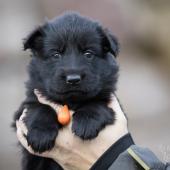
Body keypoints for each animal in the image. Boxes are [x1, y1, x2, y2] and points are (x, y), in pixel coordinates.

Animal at [12, 12, 119, 169]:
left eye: (88, 54)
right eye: (56, 54)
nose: (73, 79)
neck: (70, 102)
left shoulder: (108, 97)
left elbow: (97, 102)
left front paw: (86, 122)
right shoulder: (26, 104)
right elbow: (40, 107)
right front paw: (41, 134)